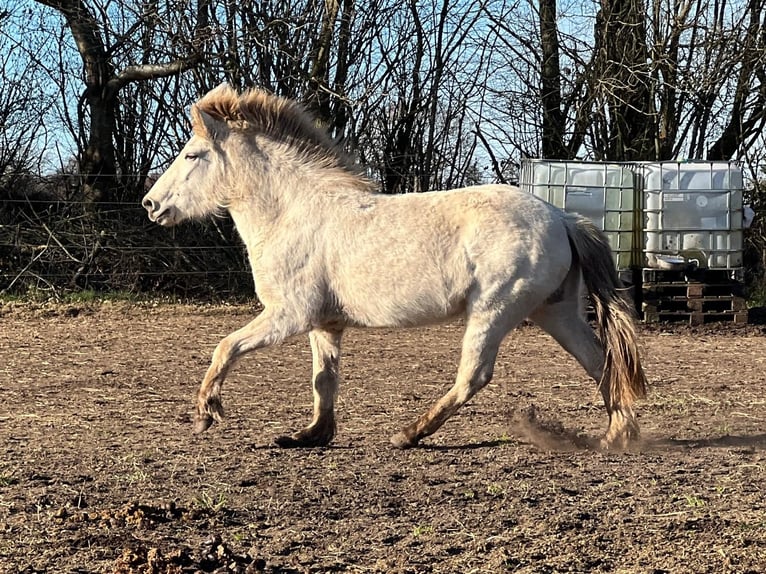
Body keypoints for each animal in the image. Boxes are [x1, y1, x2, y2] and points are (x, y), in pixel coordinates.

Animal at [142, 83, 647, 450]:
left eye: (192, 155)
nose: (151, 204)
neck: (293, 213)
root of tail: (563, 217)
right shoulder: (325, 324)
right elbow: (324, 380)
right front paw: (310, 436)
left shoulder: (288, 315)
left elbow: (225, 347)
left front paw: (206, 413)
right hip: (554, 312)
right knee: (601, 362)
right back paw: (616, 437)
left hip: (494, 310)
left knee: (474, 376)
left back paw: (408, 434)